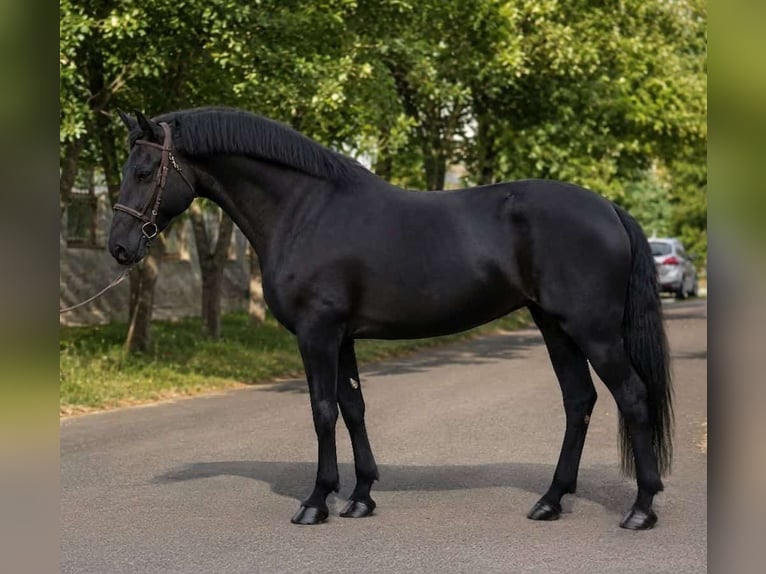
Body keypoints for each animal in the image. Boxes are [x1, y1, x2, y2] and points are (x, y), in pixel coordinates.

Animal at [109, 107, 673, 530]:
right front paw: (360, 497)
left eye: (143, 171)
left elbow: (322, 411)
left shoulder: (317, 334)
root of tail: (609, 209)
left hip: (594, 332)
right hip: (555, 327)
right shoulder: (342, 338)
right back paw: (551, 501)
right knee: (579, 402)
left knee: (633, 398)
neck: (305, 210)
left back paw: (641, 509)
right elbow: (353, 407)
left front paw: (316, 502)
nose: (119, 247)